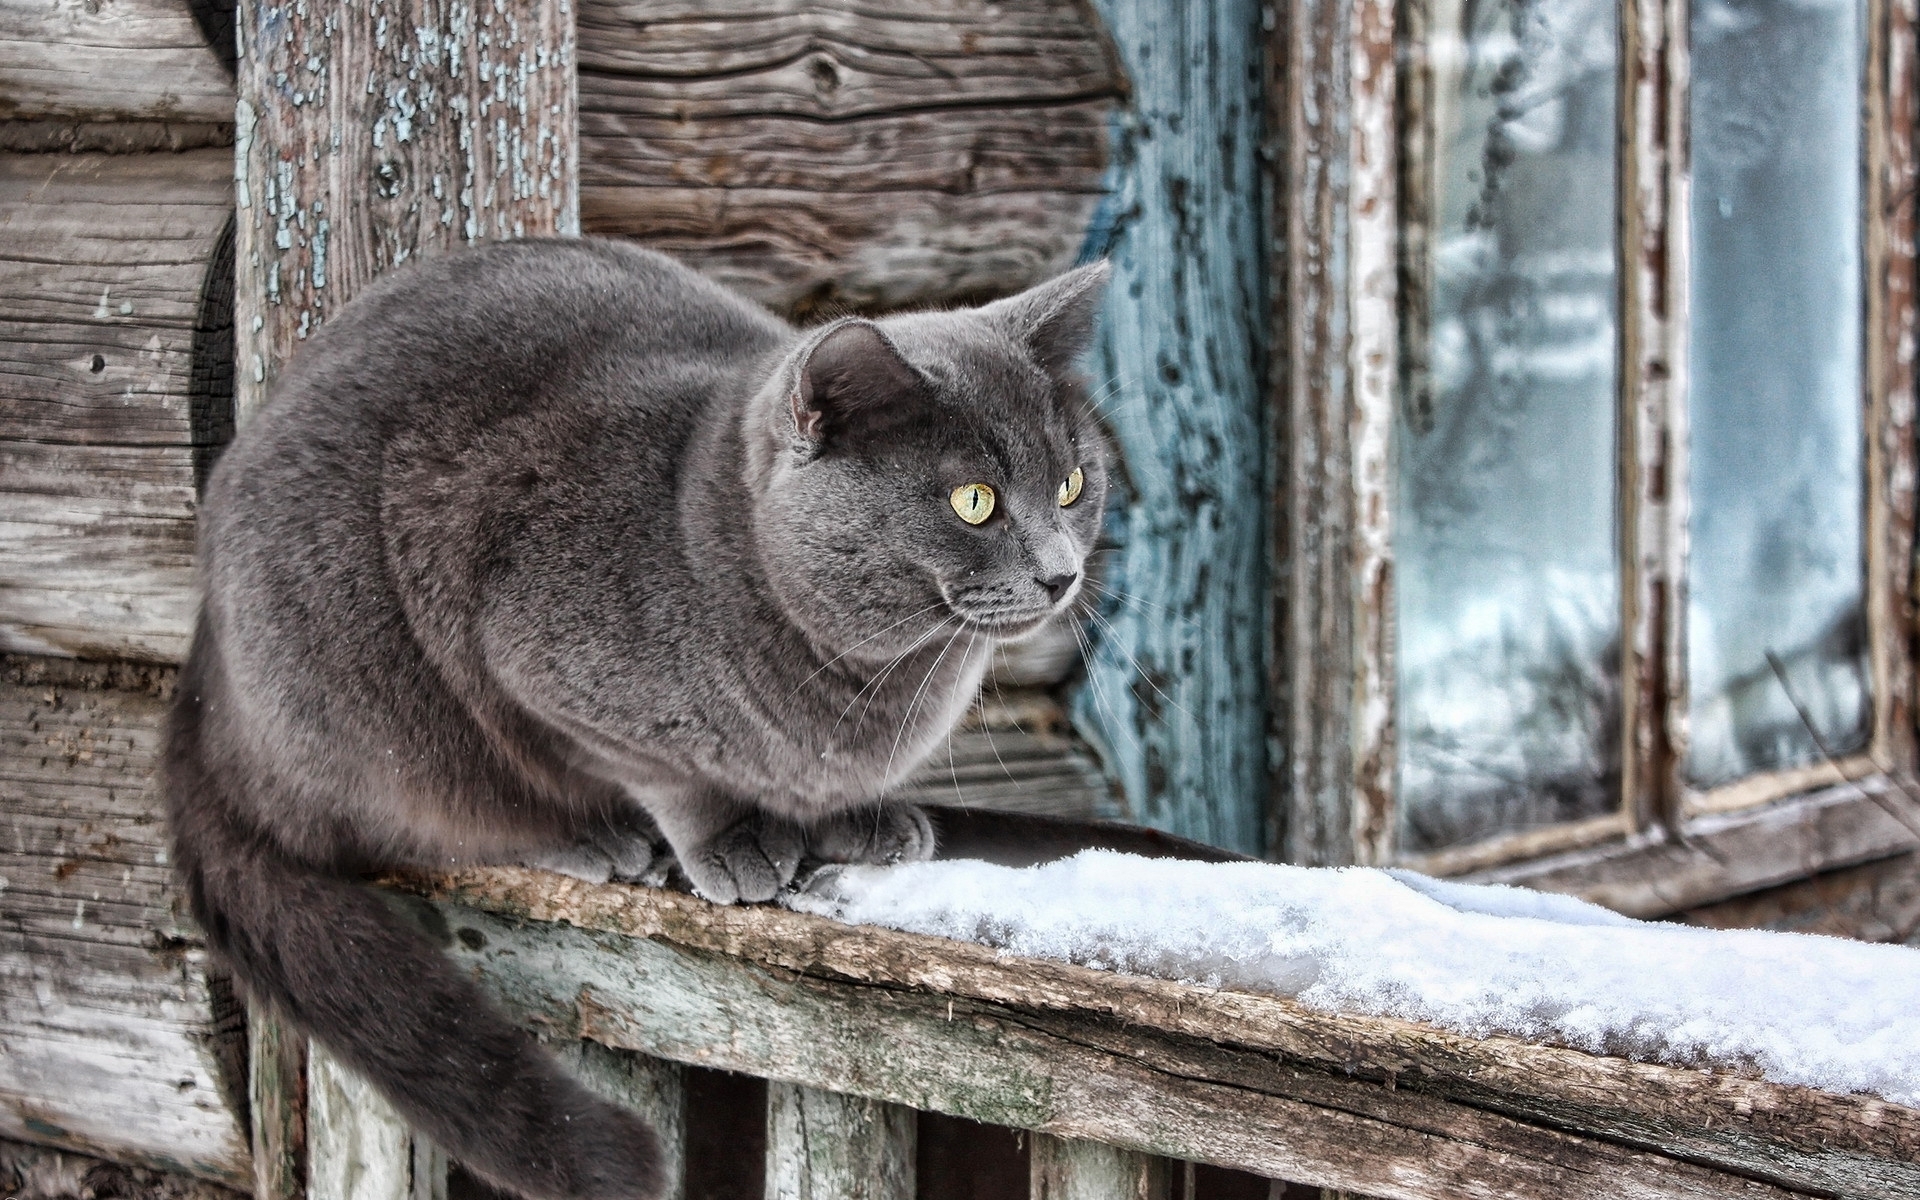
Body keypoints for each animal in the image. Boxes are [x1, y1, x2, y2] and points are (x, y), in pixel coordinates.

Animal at [165, 239, 1113, 1198]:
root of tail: (206, 687)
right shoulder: (539, 668)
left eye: (1073, 485)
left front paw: (861, 820)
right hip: (382, 701)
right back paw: (588, 840)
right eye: (975, 501)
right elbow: (673, 775)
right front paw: (734, 842)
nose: (1061, 572)